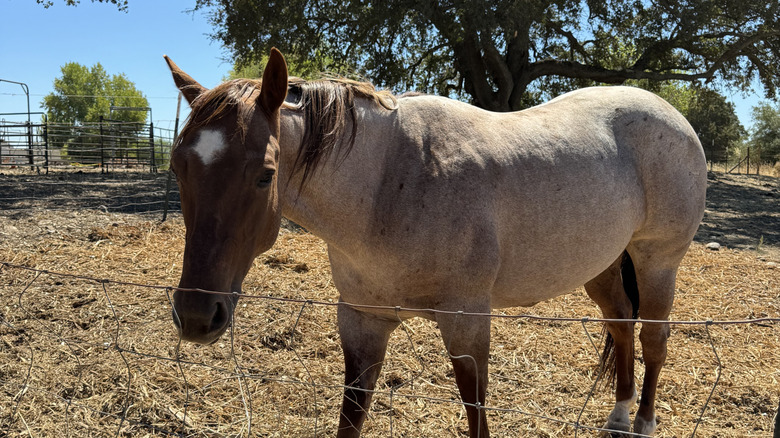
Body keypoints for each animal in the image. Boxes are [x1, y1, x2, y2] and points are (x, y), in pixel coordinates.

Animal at [164, 48, 706, 437]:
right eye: (178, 168)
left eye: (265, 175)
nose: (196, 314)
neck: (389, 182)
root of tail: (672, 116)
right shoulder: (362, 320)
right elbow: (352, 417)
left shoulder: (467, 324)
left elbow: (476, 413)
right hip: (603, 265)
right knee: (621, 325)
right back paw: (619, 416)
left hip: (658, 261)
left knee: (654, 338)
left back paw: (643, 423)